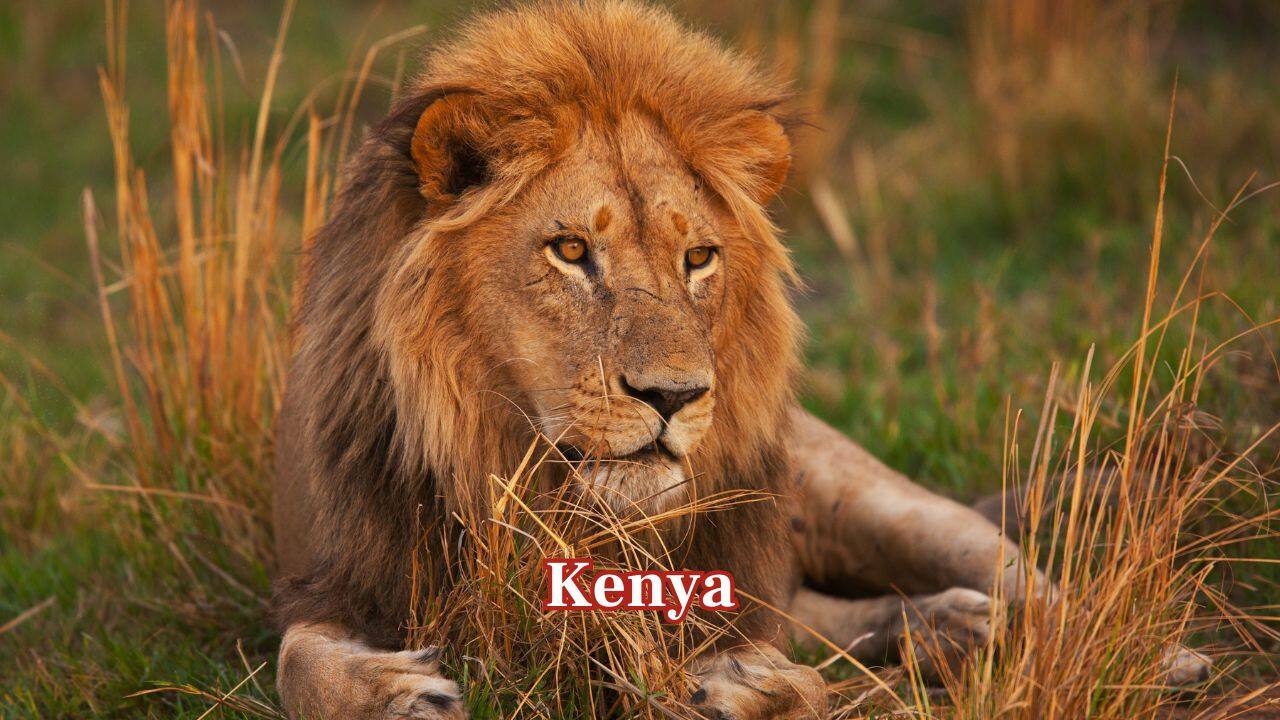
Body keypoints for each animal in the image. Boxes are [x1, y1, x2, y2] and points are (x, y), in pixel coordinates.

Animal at [271, 3, 1209, 718]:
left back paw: (1138, 655)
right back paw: (954, 630)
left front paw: (744, 688)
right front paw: (395, 692)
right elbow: (295, 659)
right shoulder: (346, 576)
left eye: (698, 259)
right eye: (570, 251)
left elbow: (785, 675)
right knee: (830, 613)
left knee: (1024, 580)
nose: (674, 395)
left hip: (876, 501)